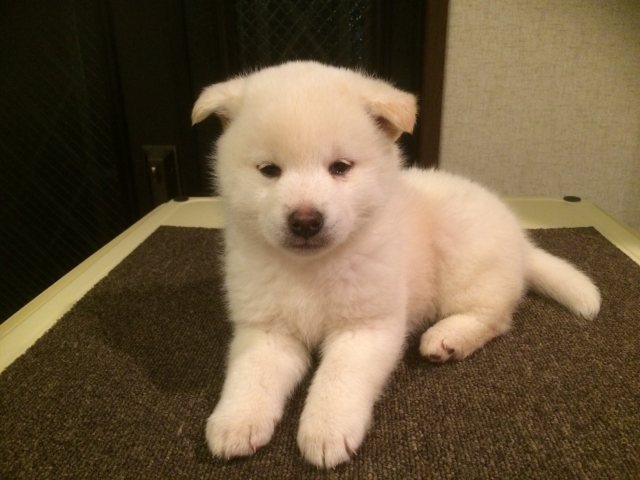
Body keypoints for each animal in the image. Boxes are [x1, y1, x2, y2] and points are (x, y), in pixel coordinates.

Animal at [191, 61, 601, 468]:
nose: (305, 221)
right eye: (269, 170)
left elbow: (338, 378)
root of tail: (519, 237)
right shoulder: (268, 331)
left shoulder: (367, 328)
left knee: (495, 317)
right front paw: (236, 421)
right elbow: (250, 376)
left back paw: (448, 337)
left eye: (340, 167)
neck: (312, 269)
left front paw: (326, 430)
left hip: (465, 260)